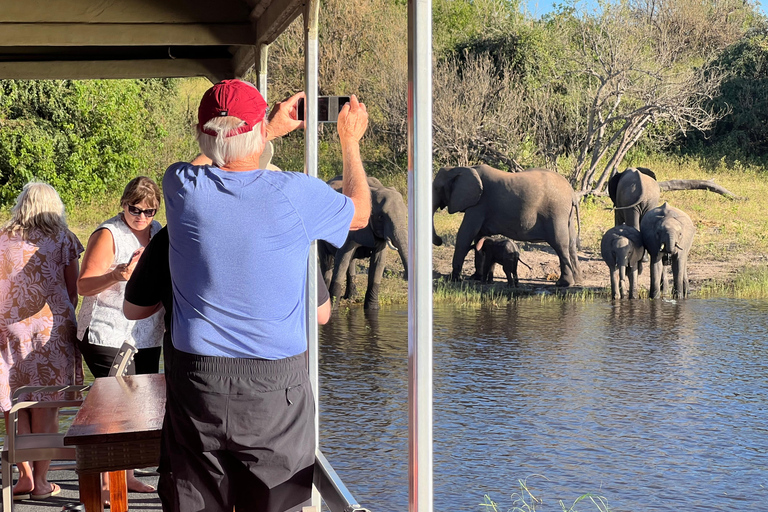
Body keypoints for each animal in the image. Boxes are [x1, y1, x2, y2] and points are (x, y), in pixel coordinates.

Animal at [320, 174, 408, 310]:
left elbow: (378, 262)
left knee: (350, 261)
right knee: (327, 261)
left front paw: (373, 308)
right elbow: (341, 261)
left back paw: (351, 296)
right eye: (381, 217)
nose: (407, 278)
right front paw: (333, 308)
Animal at [432, 164, 584, 286]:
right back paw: (577, 280)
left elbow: (465, 234)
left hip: (556, 212)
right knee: (571, 243)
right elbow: (479, 236)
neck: (461, 168)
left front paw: (454, 279)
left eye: (437, 188)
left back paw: (564, 284)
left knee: (560, 244)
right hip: (566, 214)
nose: (440, 240)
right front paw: (476, 277)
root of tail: (572, 193)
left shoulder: (478, 204)